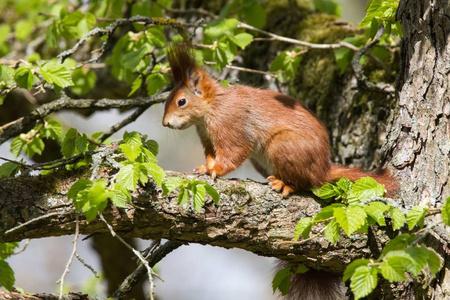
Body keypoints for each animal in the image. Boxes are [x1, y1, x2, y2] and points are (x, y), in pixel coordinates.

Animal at [163, 42, 398, 197]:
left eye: (181, 101)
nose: (165, 123)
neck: (211, 109)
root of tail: (323, 167)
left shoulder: (231, 125)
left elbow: (233, 152)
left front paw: (216, 170)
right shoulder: (207, 137)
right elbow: (212, 155)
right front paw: (206, 167)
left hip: (284, 146)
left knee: (309, 183)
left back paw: (287, 185)